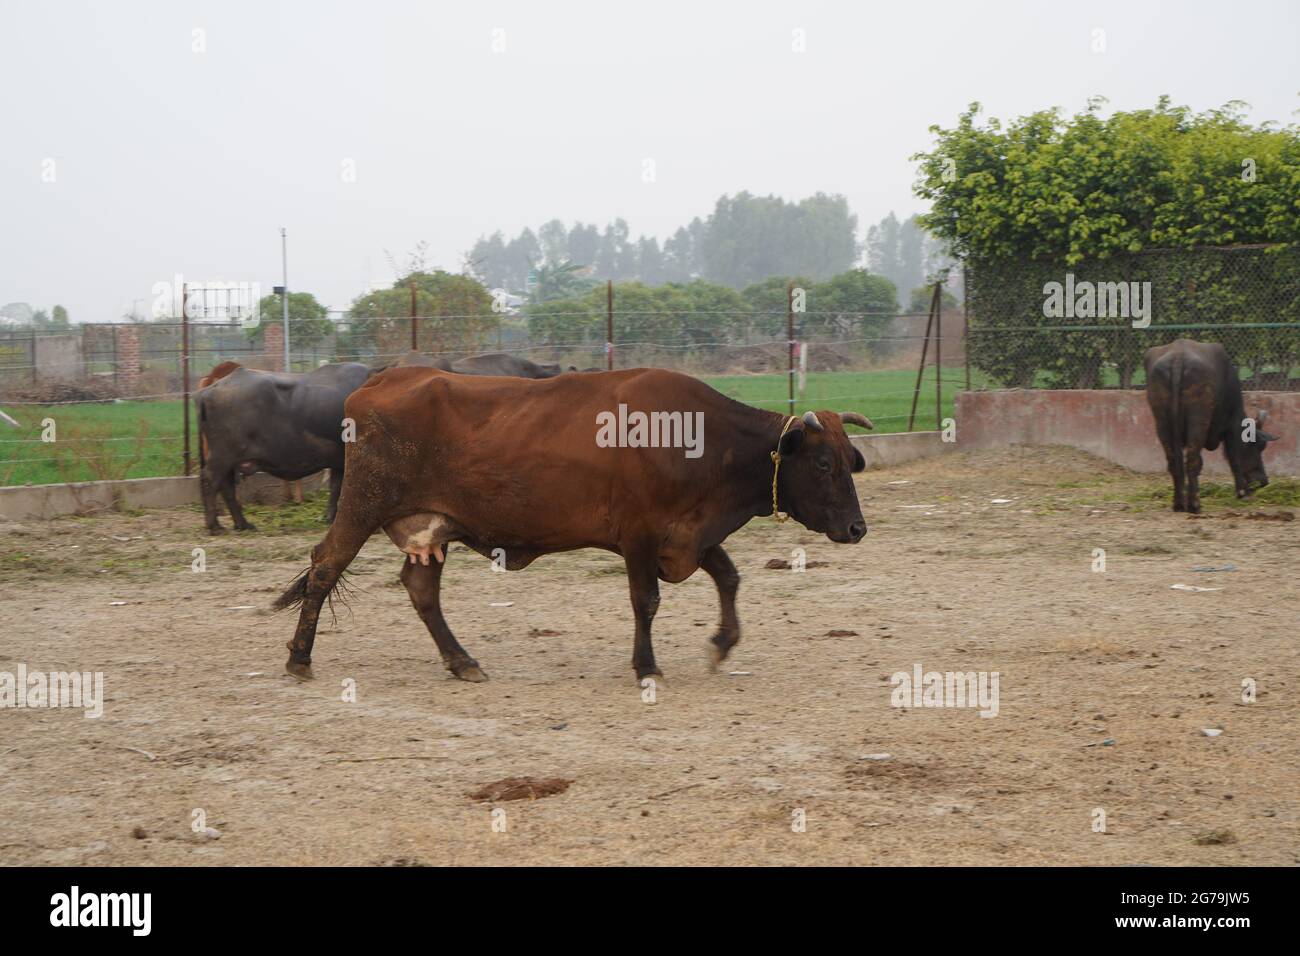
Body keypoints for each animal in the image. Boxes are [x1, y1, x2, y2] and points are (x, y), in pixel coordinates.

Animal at [279, 366, 873, 686]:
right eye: (824, 463)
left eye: (853, 460)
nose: (856, 529)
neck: (701, 438)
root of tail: (383, 378)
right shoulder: (640, 535)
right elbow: (646, 601)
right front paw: (646, 666)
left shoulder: (690, 535)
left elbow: (728, 578)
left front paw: (723, 642)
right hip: (362, 505)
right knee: (325, 565)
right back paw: (299, 658)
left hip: (432, 527)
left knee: (421, 588)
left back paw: (461, 660)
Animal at [1144, 338, 1274, 512]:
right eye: (1259, 446)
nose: (1263, 481)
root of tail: (1178, 358)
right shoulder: (1231, 425)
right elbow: (1234, 456)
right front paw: (1242, 492)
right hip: (1198, 420)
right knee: (1192, 459)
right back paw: (1194, 505)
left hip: (1162, 423)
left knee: (1174, 462)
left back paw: (1179, 503)